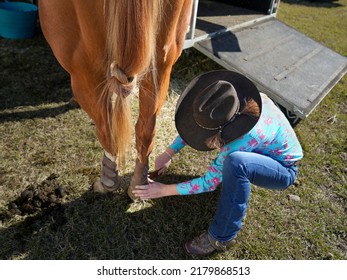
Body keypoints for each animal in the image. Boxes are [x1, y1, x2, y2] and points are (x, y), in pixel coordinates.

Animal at [39, 1, 194, 200]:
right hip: (163, 59)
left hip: (83, 65)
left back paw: (107, 183)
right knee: (146, 128)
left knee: (105, 128)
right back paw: (139, 184)